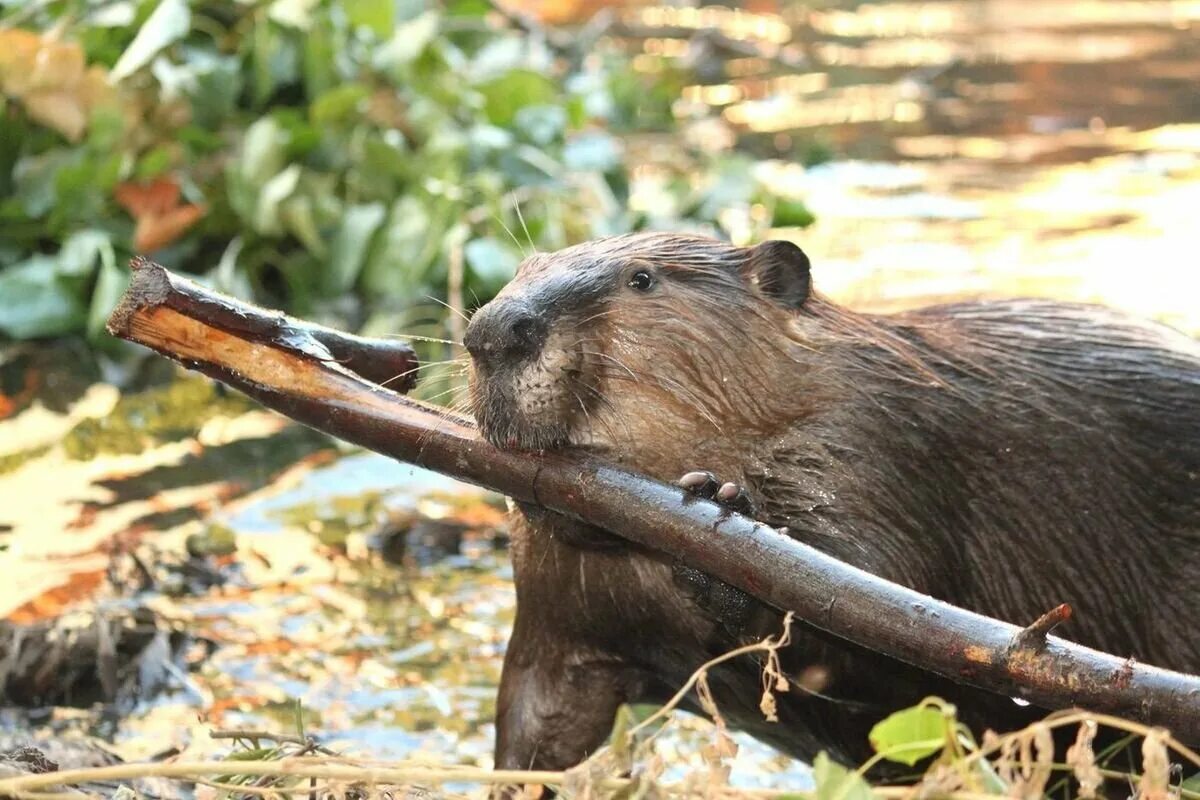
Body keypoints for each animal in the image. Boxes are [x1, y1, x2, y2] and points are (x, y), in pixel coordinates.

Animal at [460, 231, 1200, 777]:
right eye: (522, 266)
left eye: (641, 280)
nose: (494, 330)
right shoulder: (563, 602)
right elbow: (539, 714)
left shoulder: (869, 448)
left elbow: (884, 616)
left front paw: (719, 509)